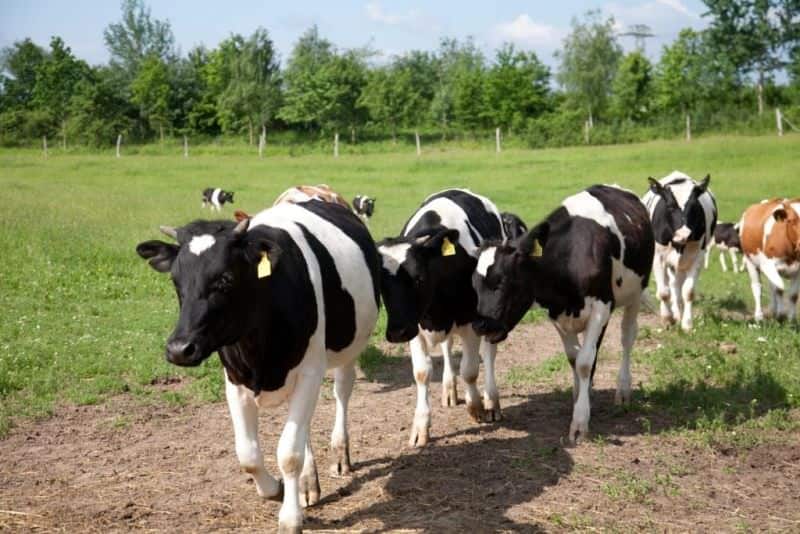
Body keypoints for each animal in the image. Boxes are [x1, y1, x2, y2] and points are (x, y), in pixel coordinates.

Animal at [135, 199, 380, 533]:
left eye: (225, 279)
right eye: (176, 281)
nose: (179, 349)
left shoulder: (309, 372)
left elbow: (289, 453)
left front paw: (289, 519)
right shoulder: (234, 379)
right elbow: (248, 455)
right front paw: (275, 489)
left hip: (347, 348)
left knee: (342, 391)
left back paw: (340, 453)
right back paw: (307, 483)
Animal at [377, 188, 506, 447]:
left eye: (419, 278)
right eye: (381, 285)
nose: (396, 332)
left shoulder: (470, 321)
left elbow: (470, 370)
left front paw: (477, 407)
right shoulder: (414, 326)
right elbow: (421, 373)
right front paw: (420, 426)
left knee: (488, 354)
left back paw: (492, 401)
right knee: (447, 348)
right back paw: (449, 389)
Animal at [472, 185, 654, 443]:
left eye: (503, 282)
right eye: (474, 285)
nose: (480, 325)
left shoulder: (601, 307)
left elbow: (585, 362)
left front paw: (579, 423)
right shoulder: (556, 314)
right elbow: (574, 358)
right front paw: (579, 397)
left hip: (635, 293)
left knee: (627, 337)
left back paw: (623, 390)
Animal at [642, 171, 717, 331]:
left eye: (694, 207)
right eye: (670, 206)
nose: (683, 234)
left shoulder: (697, 257)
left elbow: (688, 292)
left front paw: (687, 323)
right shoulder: (657, 257)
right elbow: (664, 292)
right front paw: (667, 319)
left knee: (676, 286)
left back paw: (678, 313)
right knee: (671, 286)